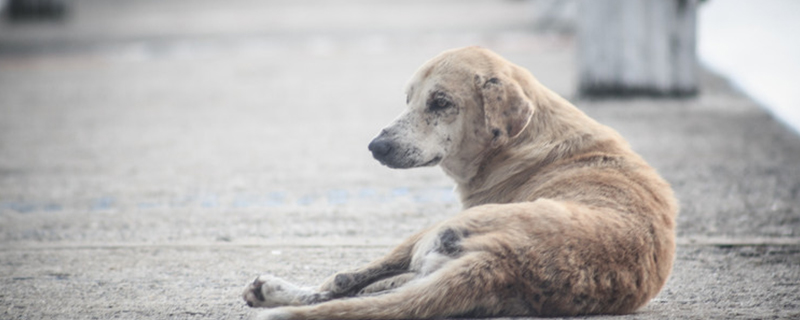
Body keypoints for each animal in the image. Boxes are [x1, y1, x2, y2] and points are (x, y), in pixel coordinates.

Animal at [242, 46, 676, 318]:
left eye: (440, 102)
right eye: (408, 100)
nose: (375, 146)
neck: (525, 138)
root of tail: (503, 260)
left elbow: (346, 280)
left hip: (432, 231)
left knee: (343, 284)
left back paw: (274, 292)